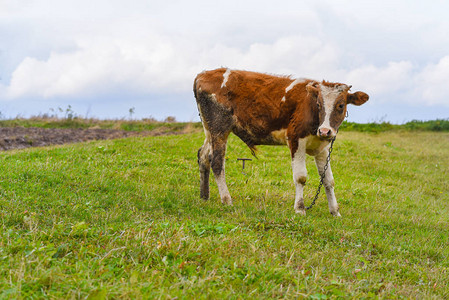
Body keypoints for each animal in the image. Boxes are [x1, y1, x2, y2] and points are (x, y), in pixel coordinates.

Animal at [192, 68, 368, 216]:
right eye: (318, 104)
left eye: (341, 105)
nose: (325, 131)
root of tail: (203, 74)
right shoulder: (296, 139)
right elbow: (300, 177)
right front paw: (300, 209)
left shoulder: (322, 148)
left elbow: (328, 180)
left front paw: (335, 212)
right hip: (219, 127)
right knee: (216, 162)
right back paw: (226, 200)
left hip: (209, 130)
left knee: (203, 155)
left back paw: (204, 196)